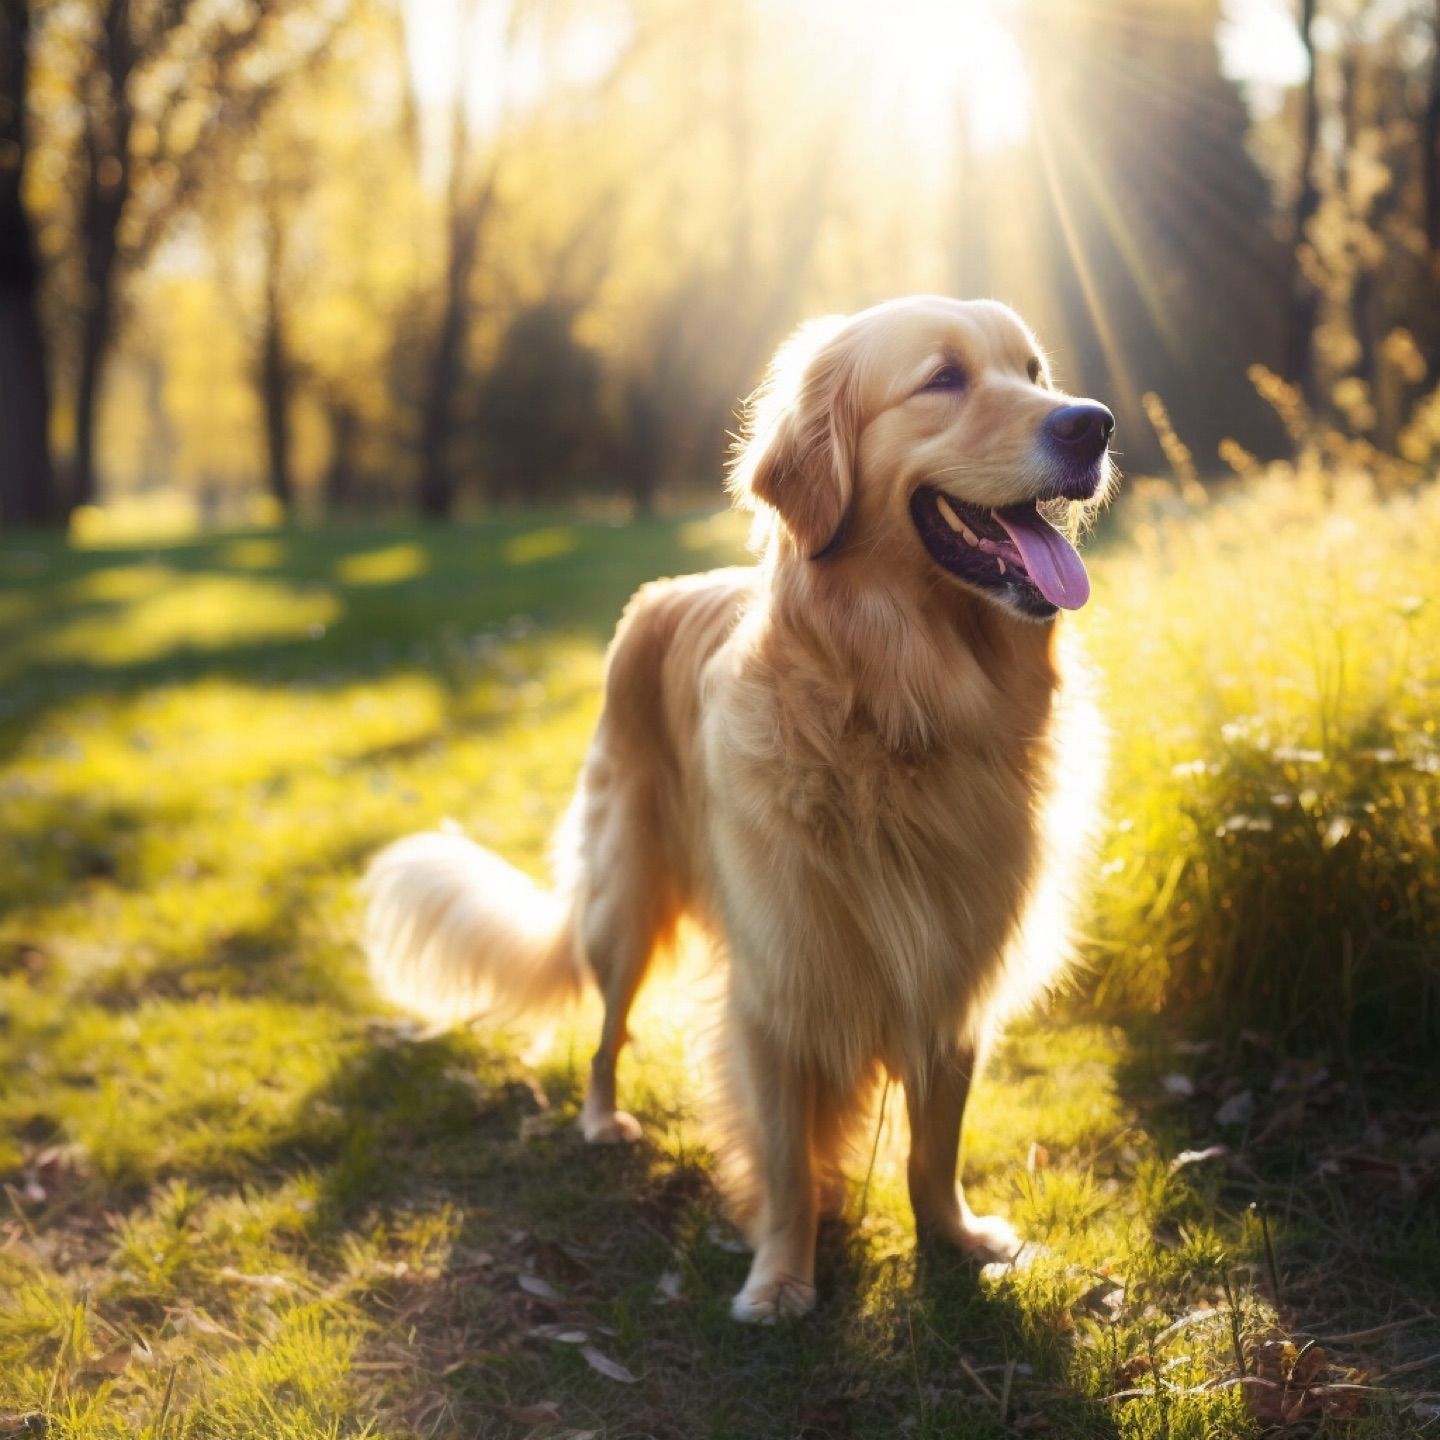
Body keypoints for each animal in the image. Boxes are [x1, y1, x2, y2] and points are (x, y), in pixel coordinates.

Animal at [362, 298, 1111, 1319]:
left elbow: (935, 1144)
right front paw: (782, 1278)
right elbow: (787, 1159)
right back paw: (603, 1120)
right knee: (607, 1033)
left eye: (1035, 374)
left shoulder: (952, 971)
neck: (895, 709)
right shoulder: (776, 982)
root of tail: (659, 593)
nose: (1093, 423)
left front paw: (956, 1239)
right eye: (944, 379)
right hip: (626, 901)